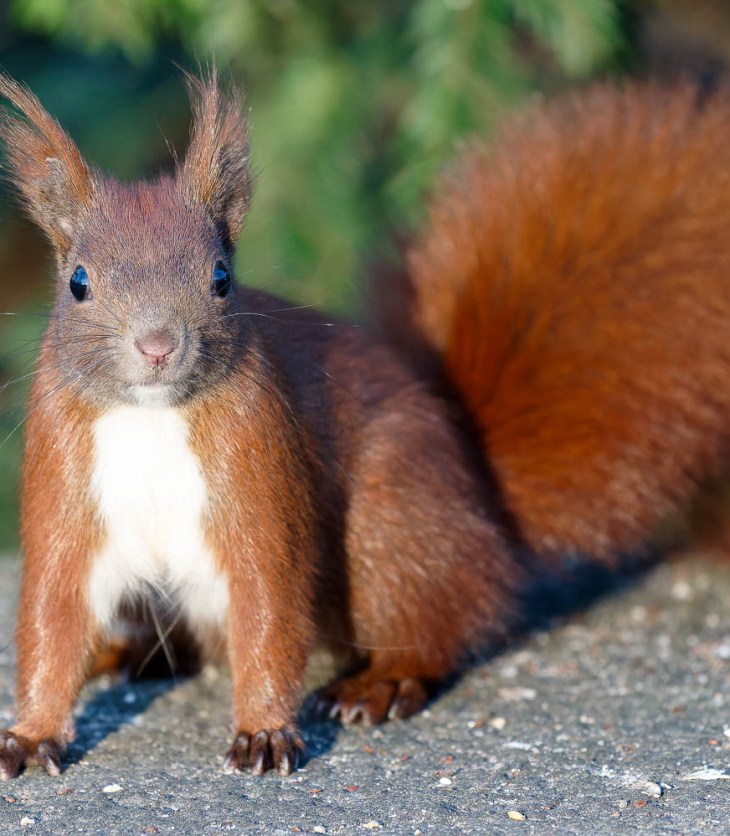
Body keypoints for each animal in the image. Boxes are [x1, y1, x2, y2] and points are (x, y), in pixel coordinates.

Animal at [1, 69, 729, 780]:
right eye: (78, 283)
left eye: (221, 278)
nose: (157, 345)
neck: (151, 416)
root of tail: (485, 506)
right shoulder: (64, 471)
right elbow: (52, 615)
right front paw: (32, 734)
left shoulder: (260, 459)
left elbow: (269, 605)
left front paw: (265, 731)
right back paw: (123, 657)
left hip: (390, 521)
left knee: (435, 623)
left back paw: (381, 683)